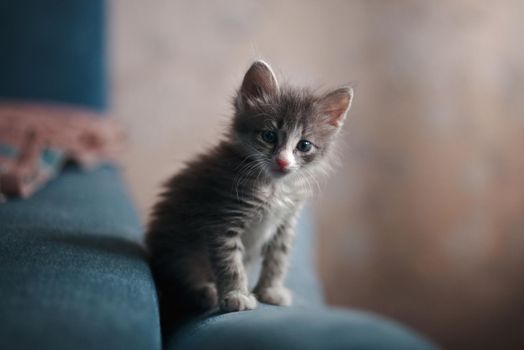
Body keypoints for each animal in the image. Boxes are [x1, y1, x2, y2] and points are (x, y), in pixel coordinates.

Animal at [145, 60, 354, 318]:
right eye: (269, 136)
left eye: (304, 145)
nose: (283, 161)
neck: (274, 187)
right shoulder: (223, 219)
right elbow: (230, 263)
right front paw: (237, 295)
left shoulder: (285, 224)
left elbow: (278, 259)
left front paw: (270, 290)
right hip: (177, 253)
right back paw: (204, 292)